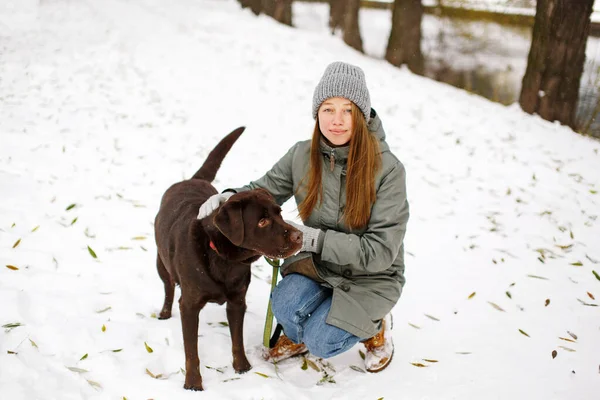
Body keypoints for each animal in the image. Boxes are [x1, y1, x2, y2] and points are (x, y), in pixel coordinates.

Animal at [155, 127, 302, 390]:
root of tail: (192, 179)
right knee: (168, 286)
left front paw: (242, 368)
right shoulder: (189, 306)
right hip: (161, 263)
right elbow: (191, 352)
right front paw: (193, 384)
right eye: (262, 221)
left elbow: (237, 340)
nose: (300, 235)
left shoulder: (237, 301)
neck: (223, 259)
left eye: (279, 212)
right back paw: (164, 312)